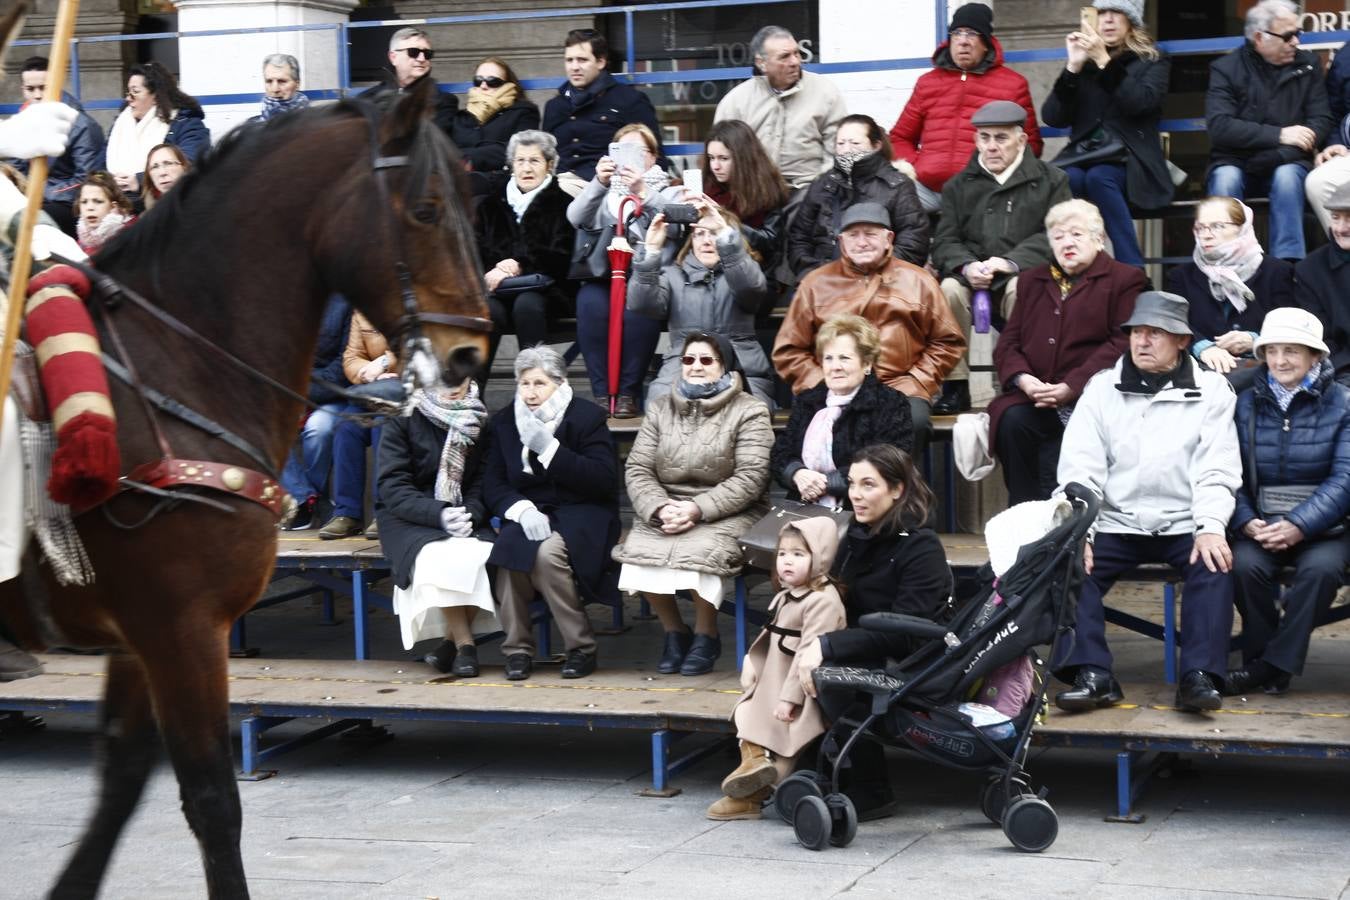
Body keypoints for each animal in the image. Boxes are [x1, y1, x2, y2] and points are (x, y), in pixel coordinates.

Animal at [0, 79, 491, 900]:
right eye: (425, 208)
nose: (470, 354)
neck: (179, 368)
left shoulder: (143, 636)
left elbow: (122, 779)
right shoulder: (183, 628)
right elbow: (211, 798)